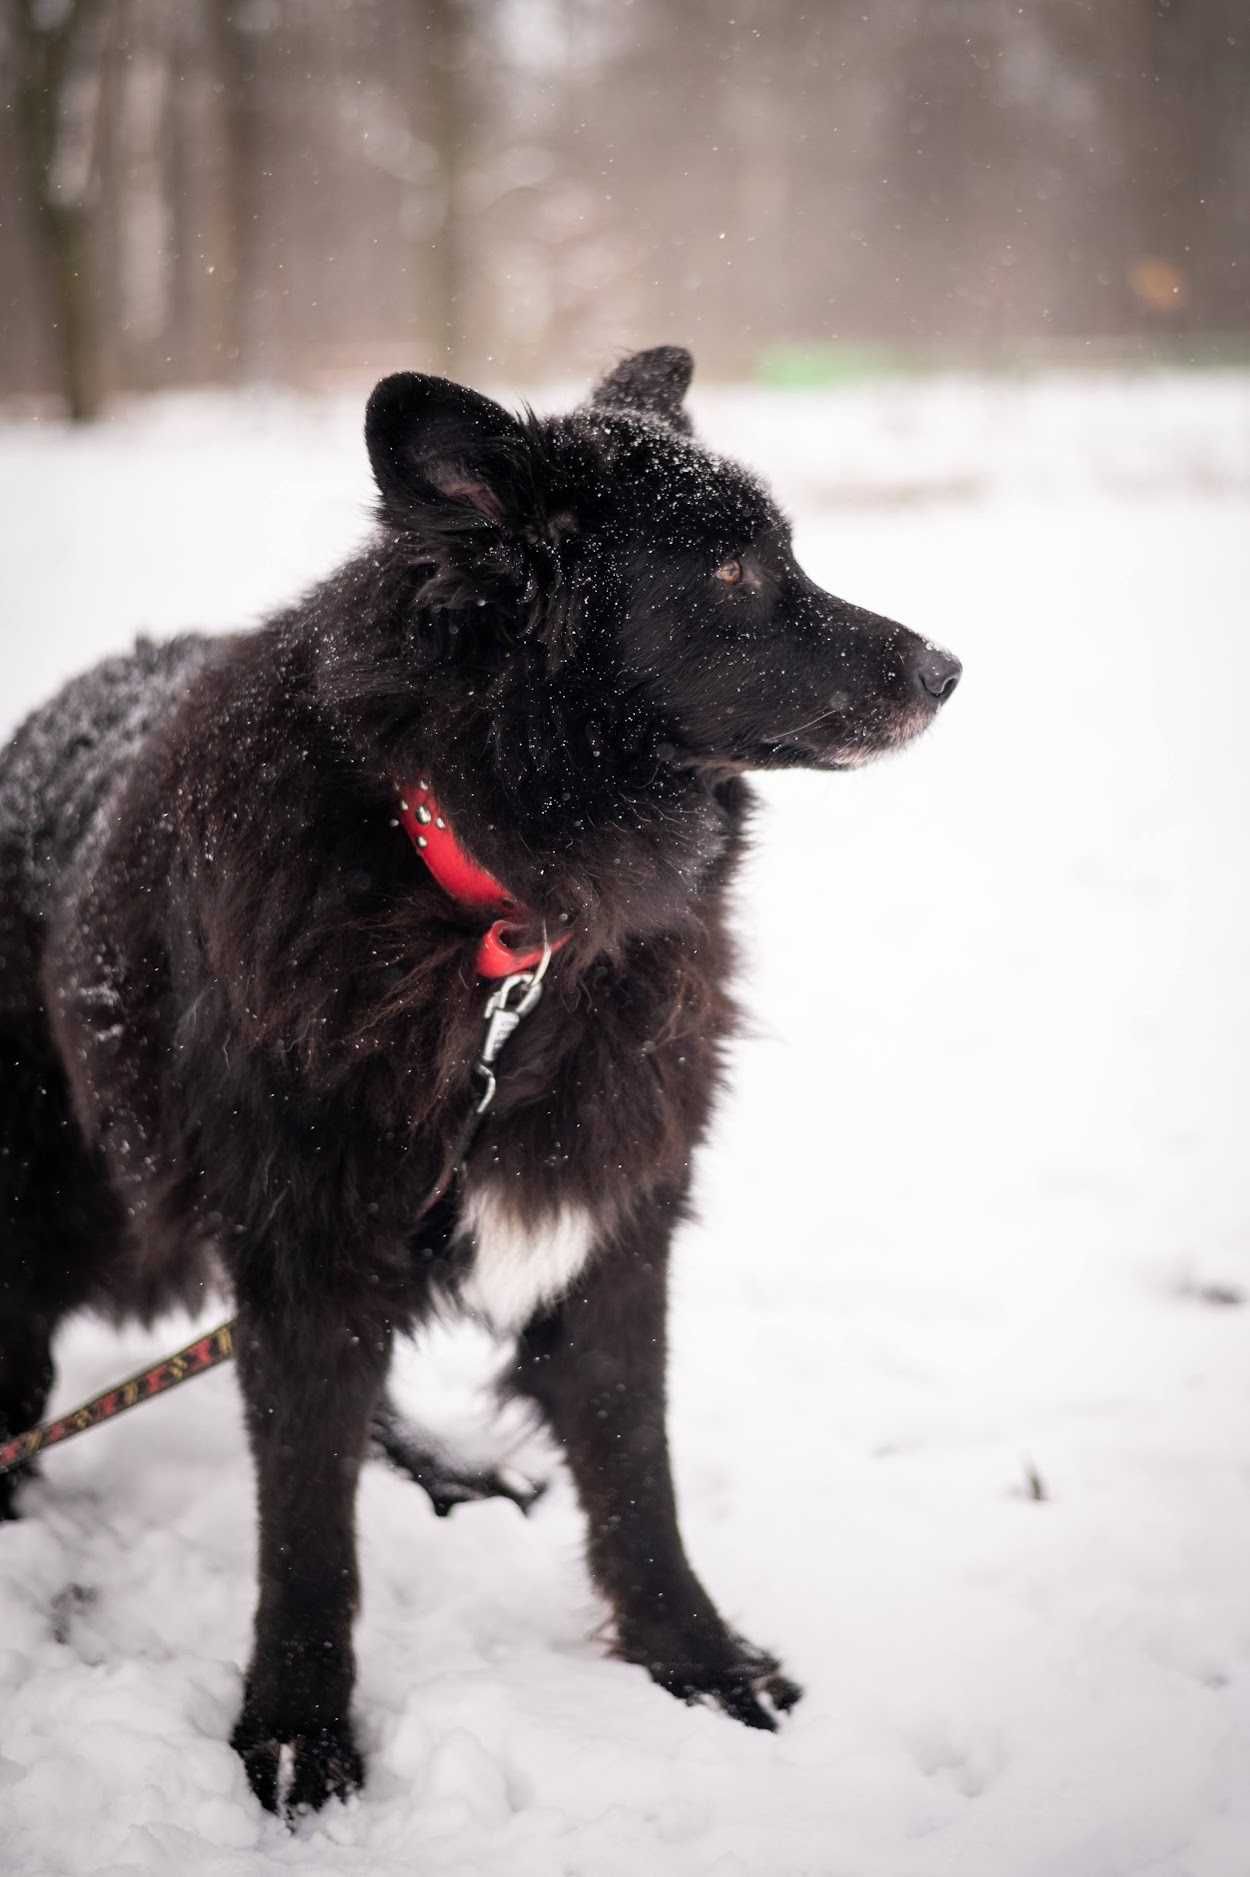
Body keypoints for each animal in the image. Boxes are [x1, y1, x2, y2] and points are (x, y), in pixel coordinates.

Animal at [0, 345, 953, 1809]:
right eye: (735, 573)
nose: (946, 667)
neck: (502, 914)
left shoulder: (605, 1233)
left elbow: (637, 1477)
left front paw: (698, 1662)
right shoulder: (312, 1248)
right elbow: (306, 1530)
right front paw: (297, 1733)